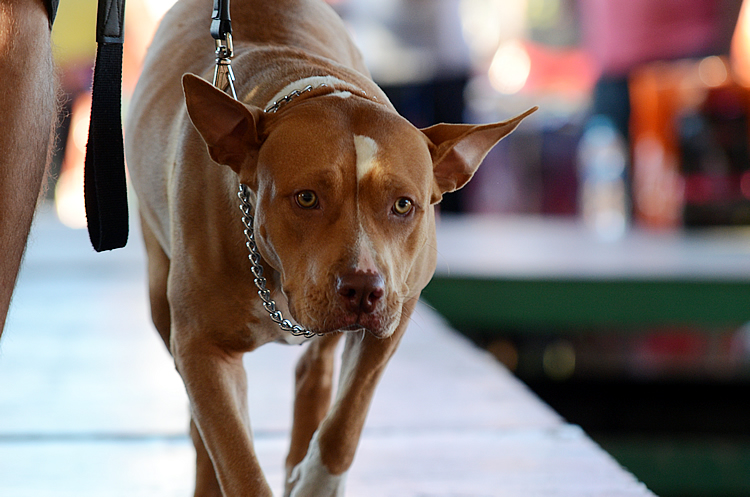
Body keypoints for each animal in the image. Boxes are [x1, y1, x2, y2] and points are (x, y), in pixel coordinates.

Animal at [125, 0, 536, 492]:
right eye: (306, 198)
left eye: (403, 205)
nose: (362, 288)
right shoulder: (200, 347)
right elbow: (234, 455)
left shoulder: (397, 311)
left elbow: (346, 420)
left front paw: (316, 482)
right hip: (160, 295)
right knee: (201, 426)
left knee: (317, 374)